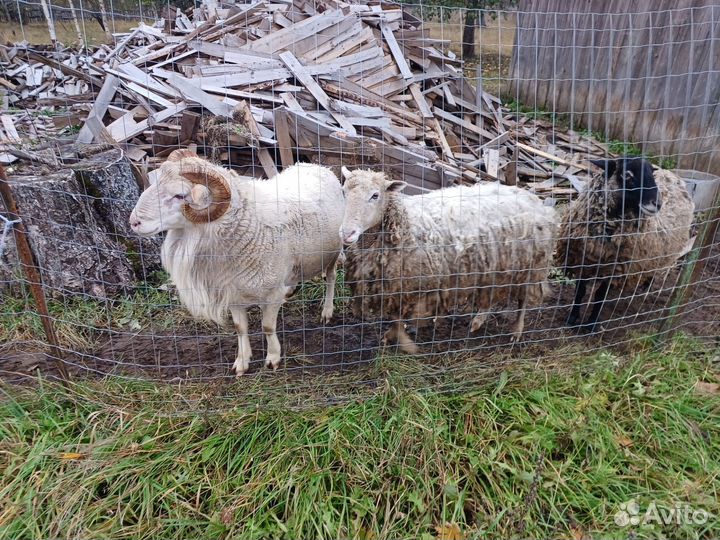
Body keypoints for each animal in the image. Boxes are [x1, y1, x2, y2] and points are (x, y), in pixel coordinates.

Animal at [129, 150, 344, 375]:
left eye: (179, 195)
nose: (133, 222)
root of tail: (318, 167)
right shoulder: (232, 292)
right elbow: (240, 328)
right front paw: (242, 362)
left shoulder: (270, 294)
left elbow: (268, 326)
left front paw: (272, 358)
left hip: (333, 253)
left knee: (331, 278)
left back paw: (327, 311)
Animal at [339, 167, 557, 353]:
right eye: (343, 192)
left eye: (375, 195)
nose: (346, 233)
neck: (404, 225)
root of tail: (532, 198)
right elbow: (396, 316)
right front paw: (392, 336)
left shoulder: (412, 284)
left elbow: (399, 317)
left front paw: (397, 338)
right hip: (494, 266)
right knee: (489, 293)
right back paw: (478, 321)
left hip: (529, 265)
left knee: (522, 299)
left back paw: (517, 331)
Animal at [555, 157, 695, 331]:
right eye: (627, 175)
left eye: (651, 174)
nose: (657, 203)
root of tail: (673, 175)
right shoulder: (582, 259)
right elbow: (580, 291)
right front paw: (572, 319)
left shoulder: (615, 269)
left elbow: (599, 296)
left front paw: (591, 324)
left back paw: (646, 285)